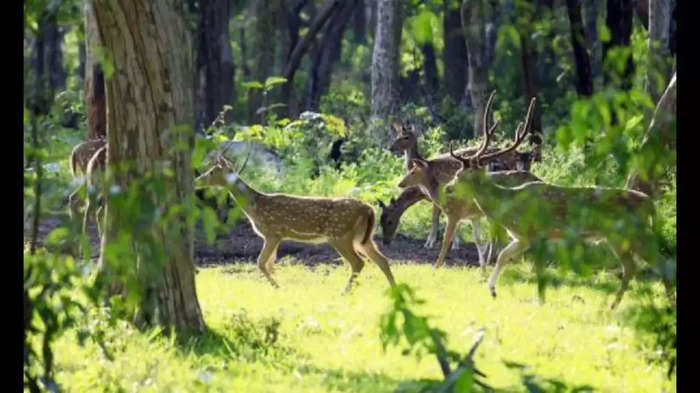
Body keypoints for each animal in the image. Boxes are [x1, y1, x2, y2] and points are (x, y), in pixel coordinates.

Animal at [194, 153, 396, 290]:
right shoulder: (275, 236)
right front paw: (275, 285)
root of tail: (368, 209)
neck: (255, 207)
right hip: (363, 237)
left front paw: (277, 286)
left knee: (358, 263)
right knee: (382, 259)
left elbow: (261, 262)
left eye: (212, 171)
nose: (197, 180)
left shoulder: (272, 232)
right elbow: (270, 264)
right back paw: (393, 288)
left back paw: (345, 291)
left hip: (340, 234)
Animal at [446, 92, 664, 310]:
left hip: (627, 233)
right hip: (622, 236)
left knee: (653, 262)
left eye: (459, 175)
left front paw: (540, 300)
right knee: (633, 266)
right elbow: (502, 257)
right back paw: (615, 304)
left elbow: (537, 268)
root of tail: (650, 203)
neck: (511, 207)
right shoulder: (522, 237)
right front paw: (492, 290)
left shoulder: (536, 232)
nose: (447, 188)